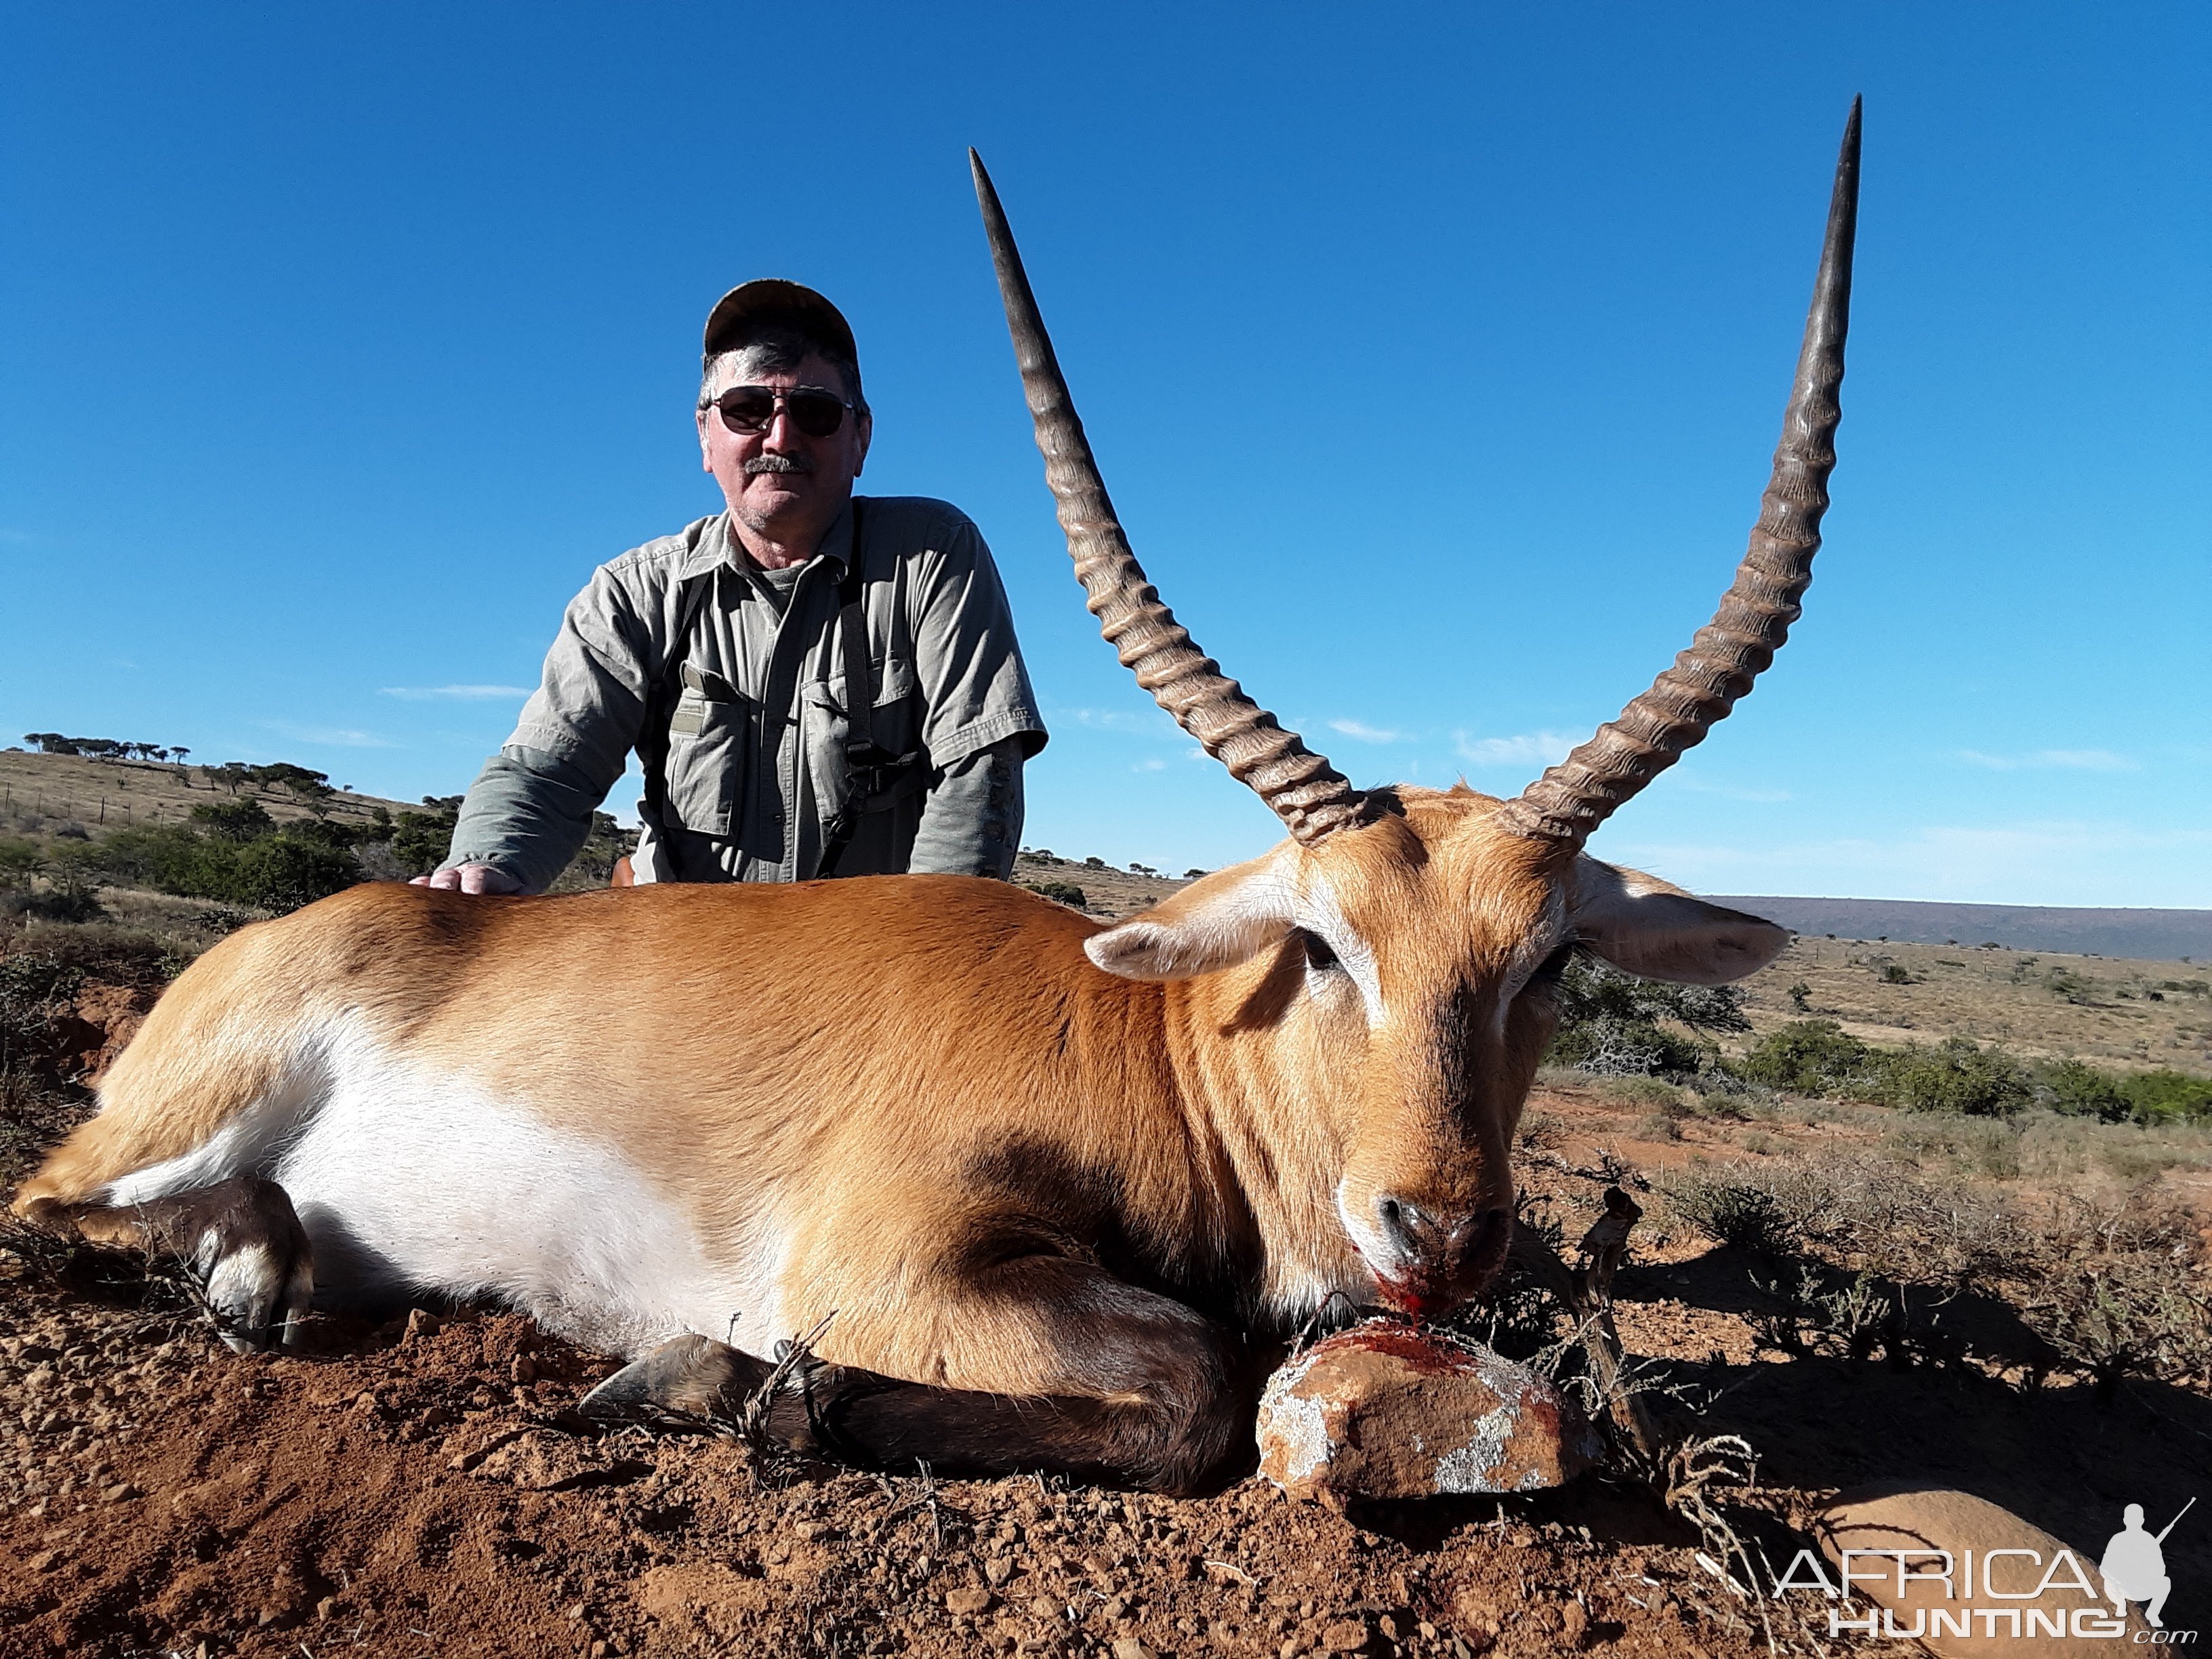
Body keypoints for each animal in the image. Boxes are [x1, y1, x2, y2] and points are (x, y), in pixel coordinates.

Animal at [17, 110, 1858, 1504]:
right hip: (169, 1124)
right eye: (1327, 944)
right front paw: (719, 1382)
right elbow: (1190, 1382)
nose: (1441, 1230)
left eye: (1549, 961)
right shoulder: (887, 1264)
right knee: (43, 1213)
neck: (1146, 1045)